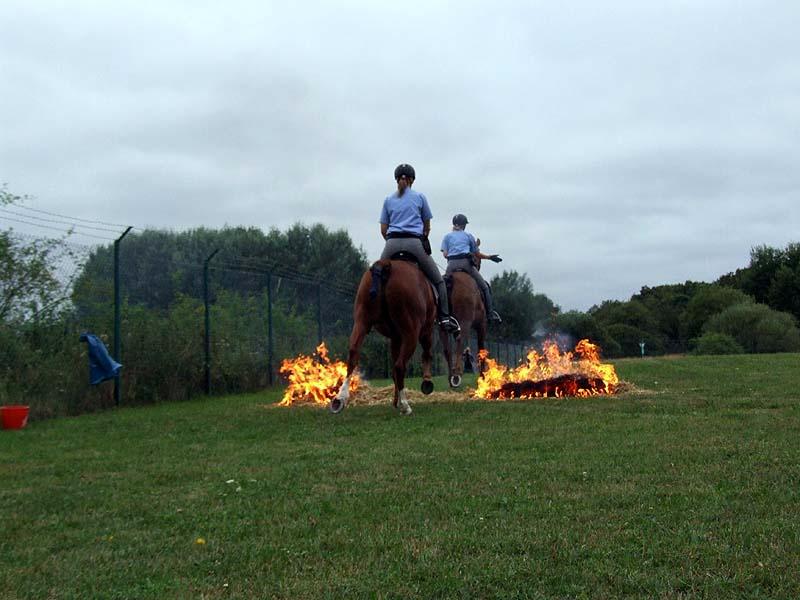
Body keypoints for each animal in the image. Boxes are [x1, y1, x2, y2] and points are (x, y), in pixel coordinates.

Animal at [332, 254, 438, 418]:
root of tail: (384, 267)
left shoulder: (395, 338)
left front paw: (395, 401)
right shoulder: (424, 331)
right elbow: (425, 353)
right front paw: (426, 382)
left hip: (361, 323)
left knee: (353, 356)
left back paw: (340, 399)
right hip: (411, 333)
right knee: (400, 366)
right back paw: (406, 406)